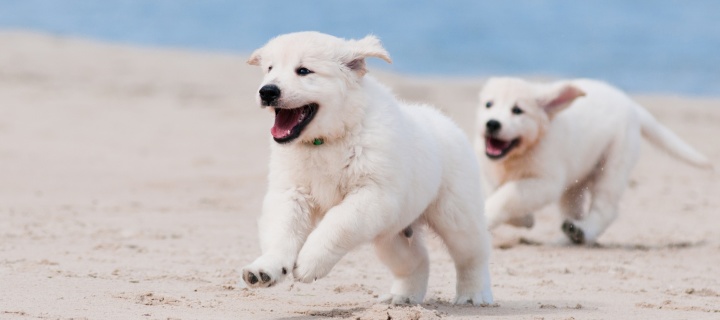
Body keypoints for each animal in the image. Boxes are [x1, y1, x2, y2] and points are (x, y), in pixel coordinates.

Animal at [242, 31, 496, 304]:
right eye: (269, 69)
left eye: (303, 71)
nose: (267, 91)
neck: (327, 141)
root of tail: (445, 121)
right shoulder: (291, 192)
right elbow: (282, 230)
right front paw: (266, 268)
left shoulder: (373, 194)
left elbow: (337, 223)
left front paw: (310, 262)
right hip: (392, 234)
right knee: (416, 260)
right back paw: (402, 298)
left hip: (456, 215)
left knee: (473, 254)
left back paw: (473, 295)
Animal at [476, 77, 712, 245]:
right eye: (488, 104)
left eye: (517, 110)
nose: (492, 123)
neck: (516, 155)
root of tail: (630, 104)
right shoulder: (486, 172)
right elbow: (495, 193)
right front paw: (525, 219)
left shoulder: (545, 182)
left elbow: (506, 196)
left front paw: (492, 216)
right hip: (575, 182)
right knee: (574, 210)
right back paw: (569, 236)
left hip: (614, 164)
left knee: (605, 208)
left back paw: (583, 231)